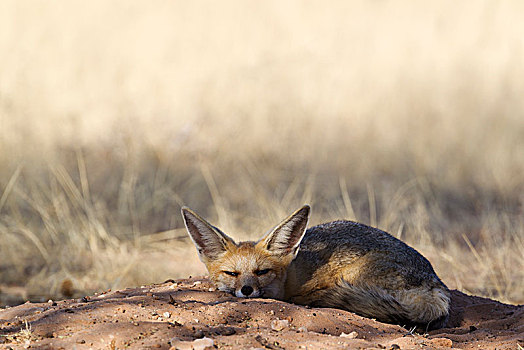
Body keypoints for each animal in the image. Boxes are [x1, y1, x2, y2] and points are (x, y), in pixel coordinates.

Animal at [181, 204, 450, 330]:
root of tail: (437, 283)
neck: (294, 272)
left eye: (262, 272)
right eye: (231, 273)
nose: (246, 290)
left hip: (352, 272)